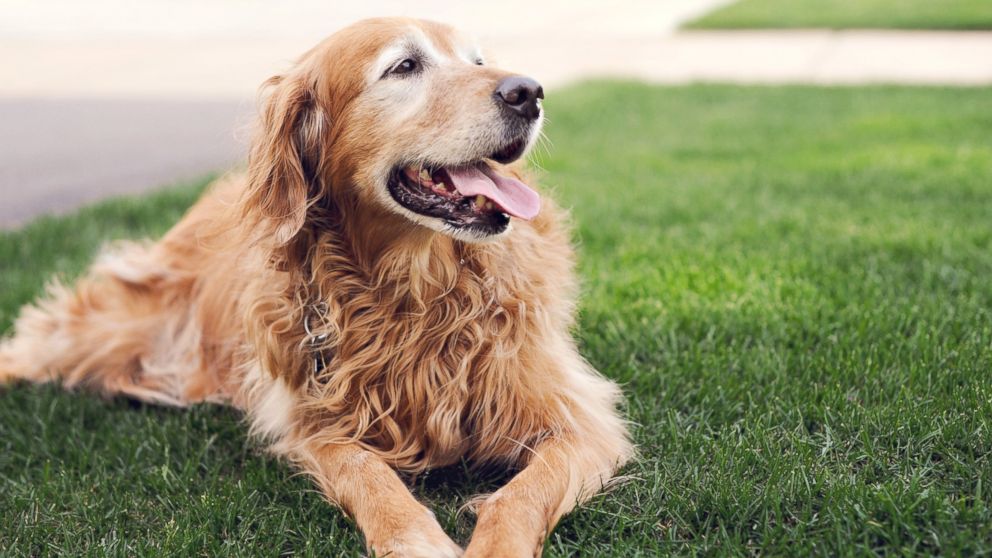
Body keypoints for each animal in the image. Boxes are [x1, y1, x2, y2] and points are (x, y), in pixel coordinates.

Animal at [0, 18, 632, 558]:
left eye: (478, 60)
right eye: (404, 66)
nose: (529, 91)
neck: (414, 294)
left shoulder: (580, 419)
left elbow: (520, 496)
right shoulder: (315, 421)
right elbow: (370, 478)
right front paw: (416, 541)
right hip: (111, 327)